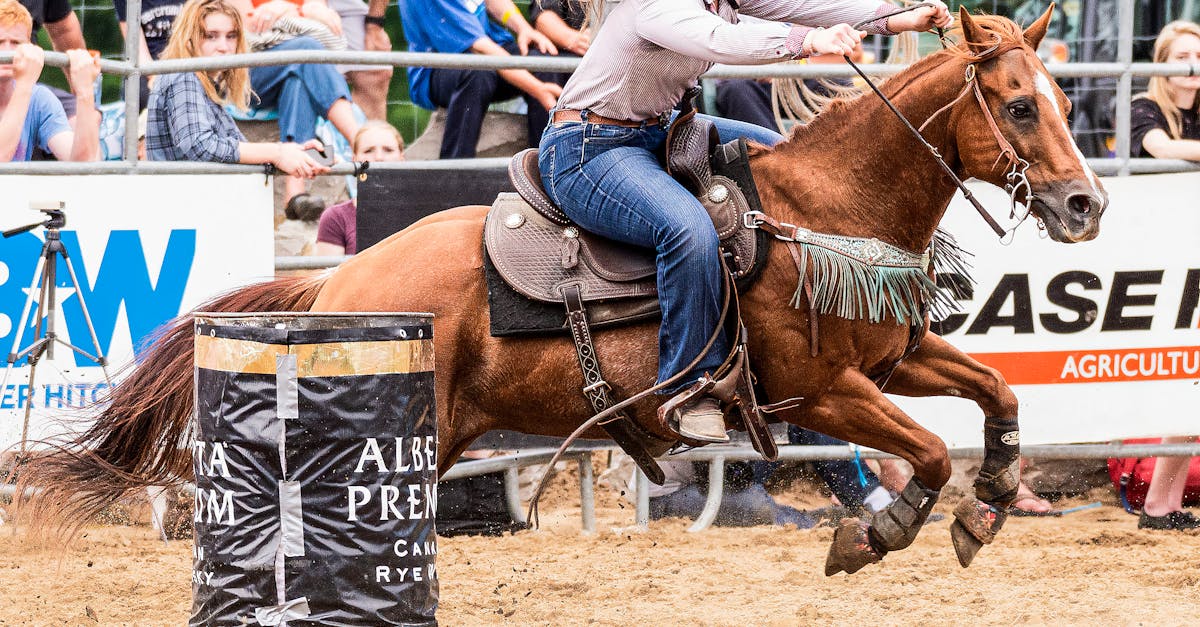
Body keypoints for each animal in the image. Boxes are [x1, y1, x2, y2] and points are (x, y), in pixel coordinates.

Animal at [18, 9, 1104, 574]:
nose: (1085, 203)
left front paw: (986, 505)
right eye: (1017, 105)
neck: (822, 207)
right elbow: (924, 452)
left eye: (1059, 96)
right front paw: (879, 531)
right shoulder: (820, 390)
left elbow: (998, 397)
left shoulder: (893, 358)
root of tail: (335, 287)